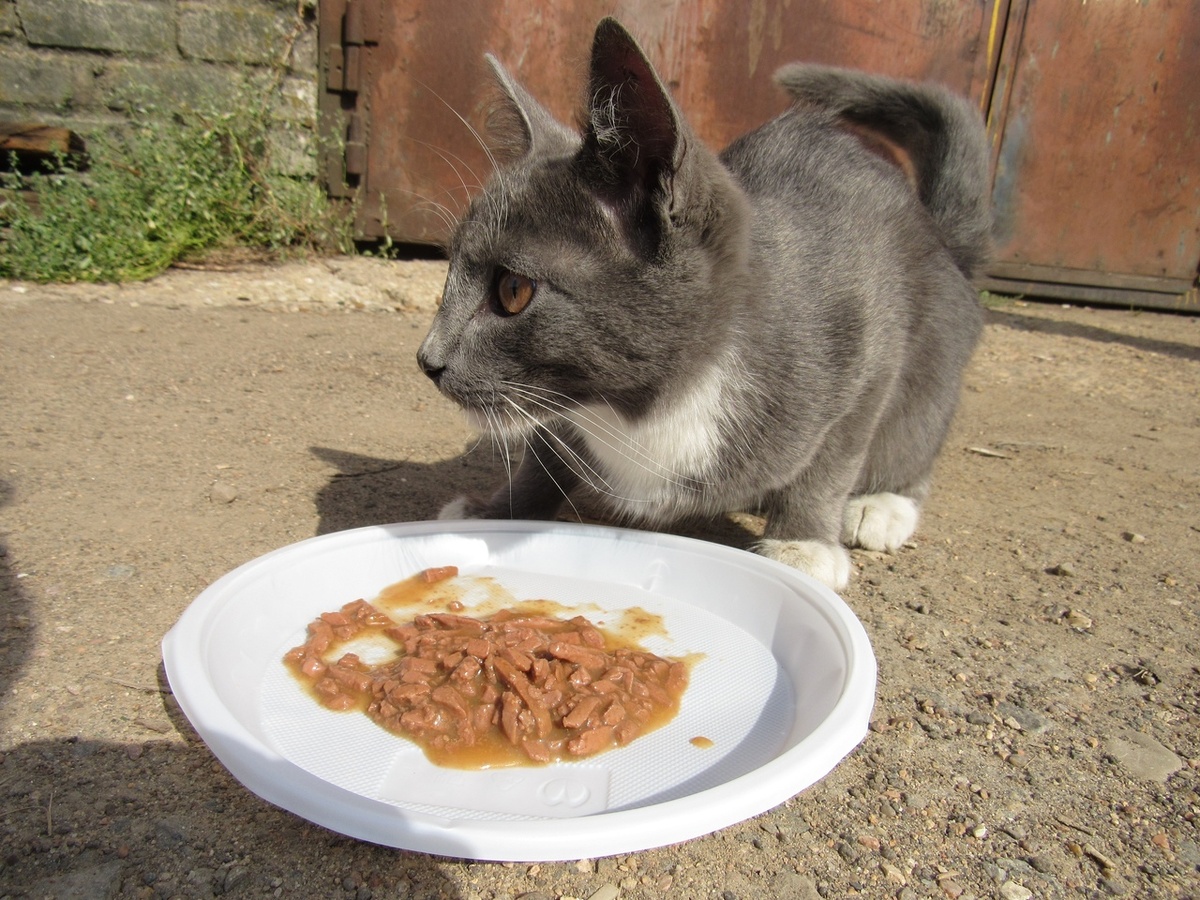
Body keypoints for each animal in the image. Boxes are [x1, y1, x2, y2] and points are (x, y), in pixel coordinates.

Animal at [417, 19, 988, 592]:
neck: (646, 404)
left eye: (513, 291)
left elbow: (837, 452)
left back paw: (883, 505)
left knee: (913, 434)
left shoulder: (869, 336)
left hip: (934, 354)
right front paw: (497, 511)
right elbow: (544, 452)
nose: (427, 360)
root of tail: (941, 235)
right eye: (449, 270)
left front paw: (804, 543)